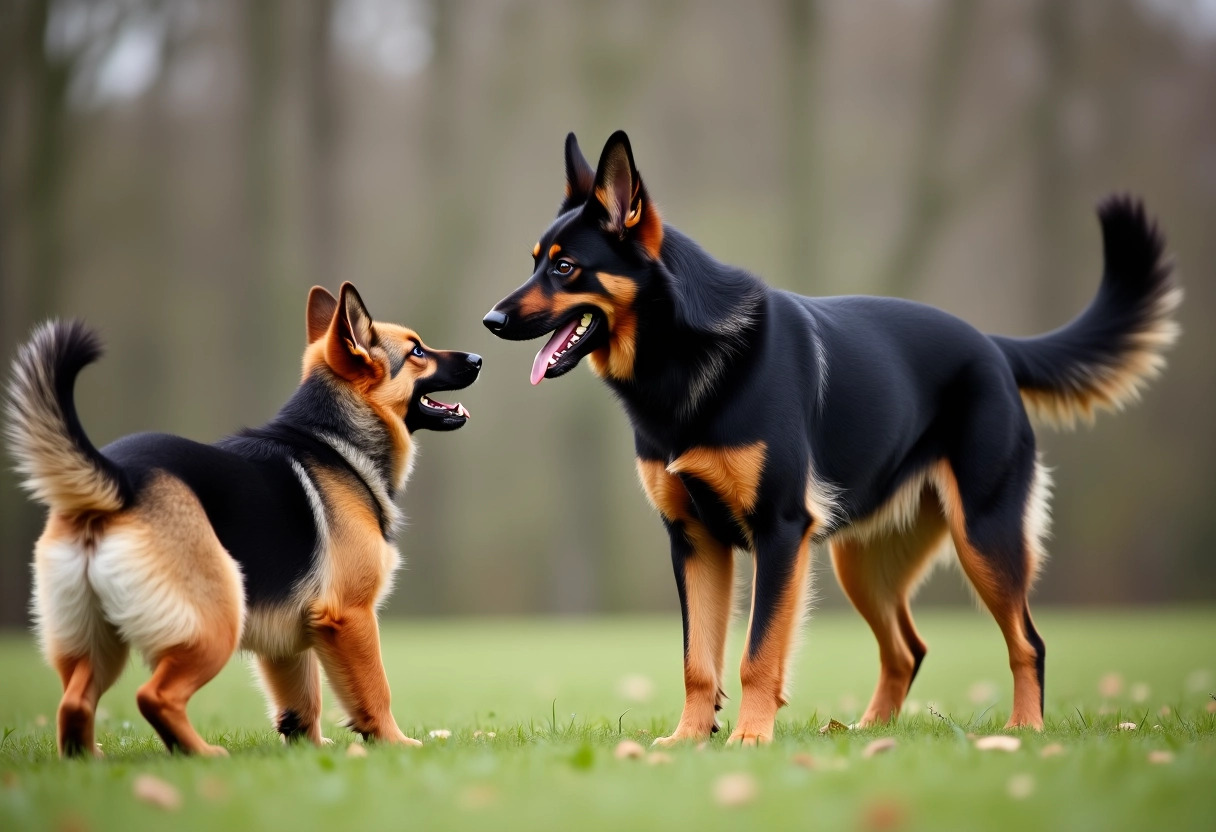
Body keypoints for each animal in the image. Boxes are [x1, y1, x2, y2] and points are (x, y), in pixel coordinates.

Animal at [5, 282, 479, 759]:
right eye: (417, 350)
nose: (478, 358)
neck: (334, 440)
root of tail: (118, 481)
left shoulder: (291, 636)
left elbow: (303, 700)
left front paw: (309, 750)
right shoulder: (350, 615)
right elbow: (375, 690)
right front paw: (395, 743)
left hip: (95, 642)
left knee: (74, 703)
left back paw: (91, 761)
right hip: (214, 624)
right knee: (154, 696)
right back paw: (200, 754)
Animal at [483, 131, 1177, 749]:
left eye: (565, 266)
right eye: (534, 261)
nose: (490, 321)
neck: (687, 351)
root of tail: (993, 347)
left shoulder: (779, 532)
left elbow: (757, 654)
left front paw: (750, 739)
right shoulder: (695, 541)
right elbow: (697, 662)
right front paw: (687, 740)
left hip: (984, 536)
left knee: (1026, 641)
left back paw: (1024, 729)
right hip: (861, 561)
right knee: (907, 650)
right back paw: (868, 733)